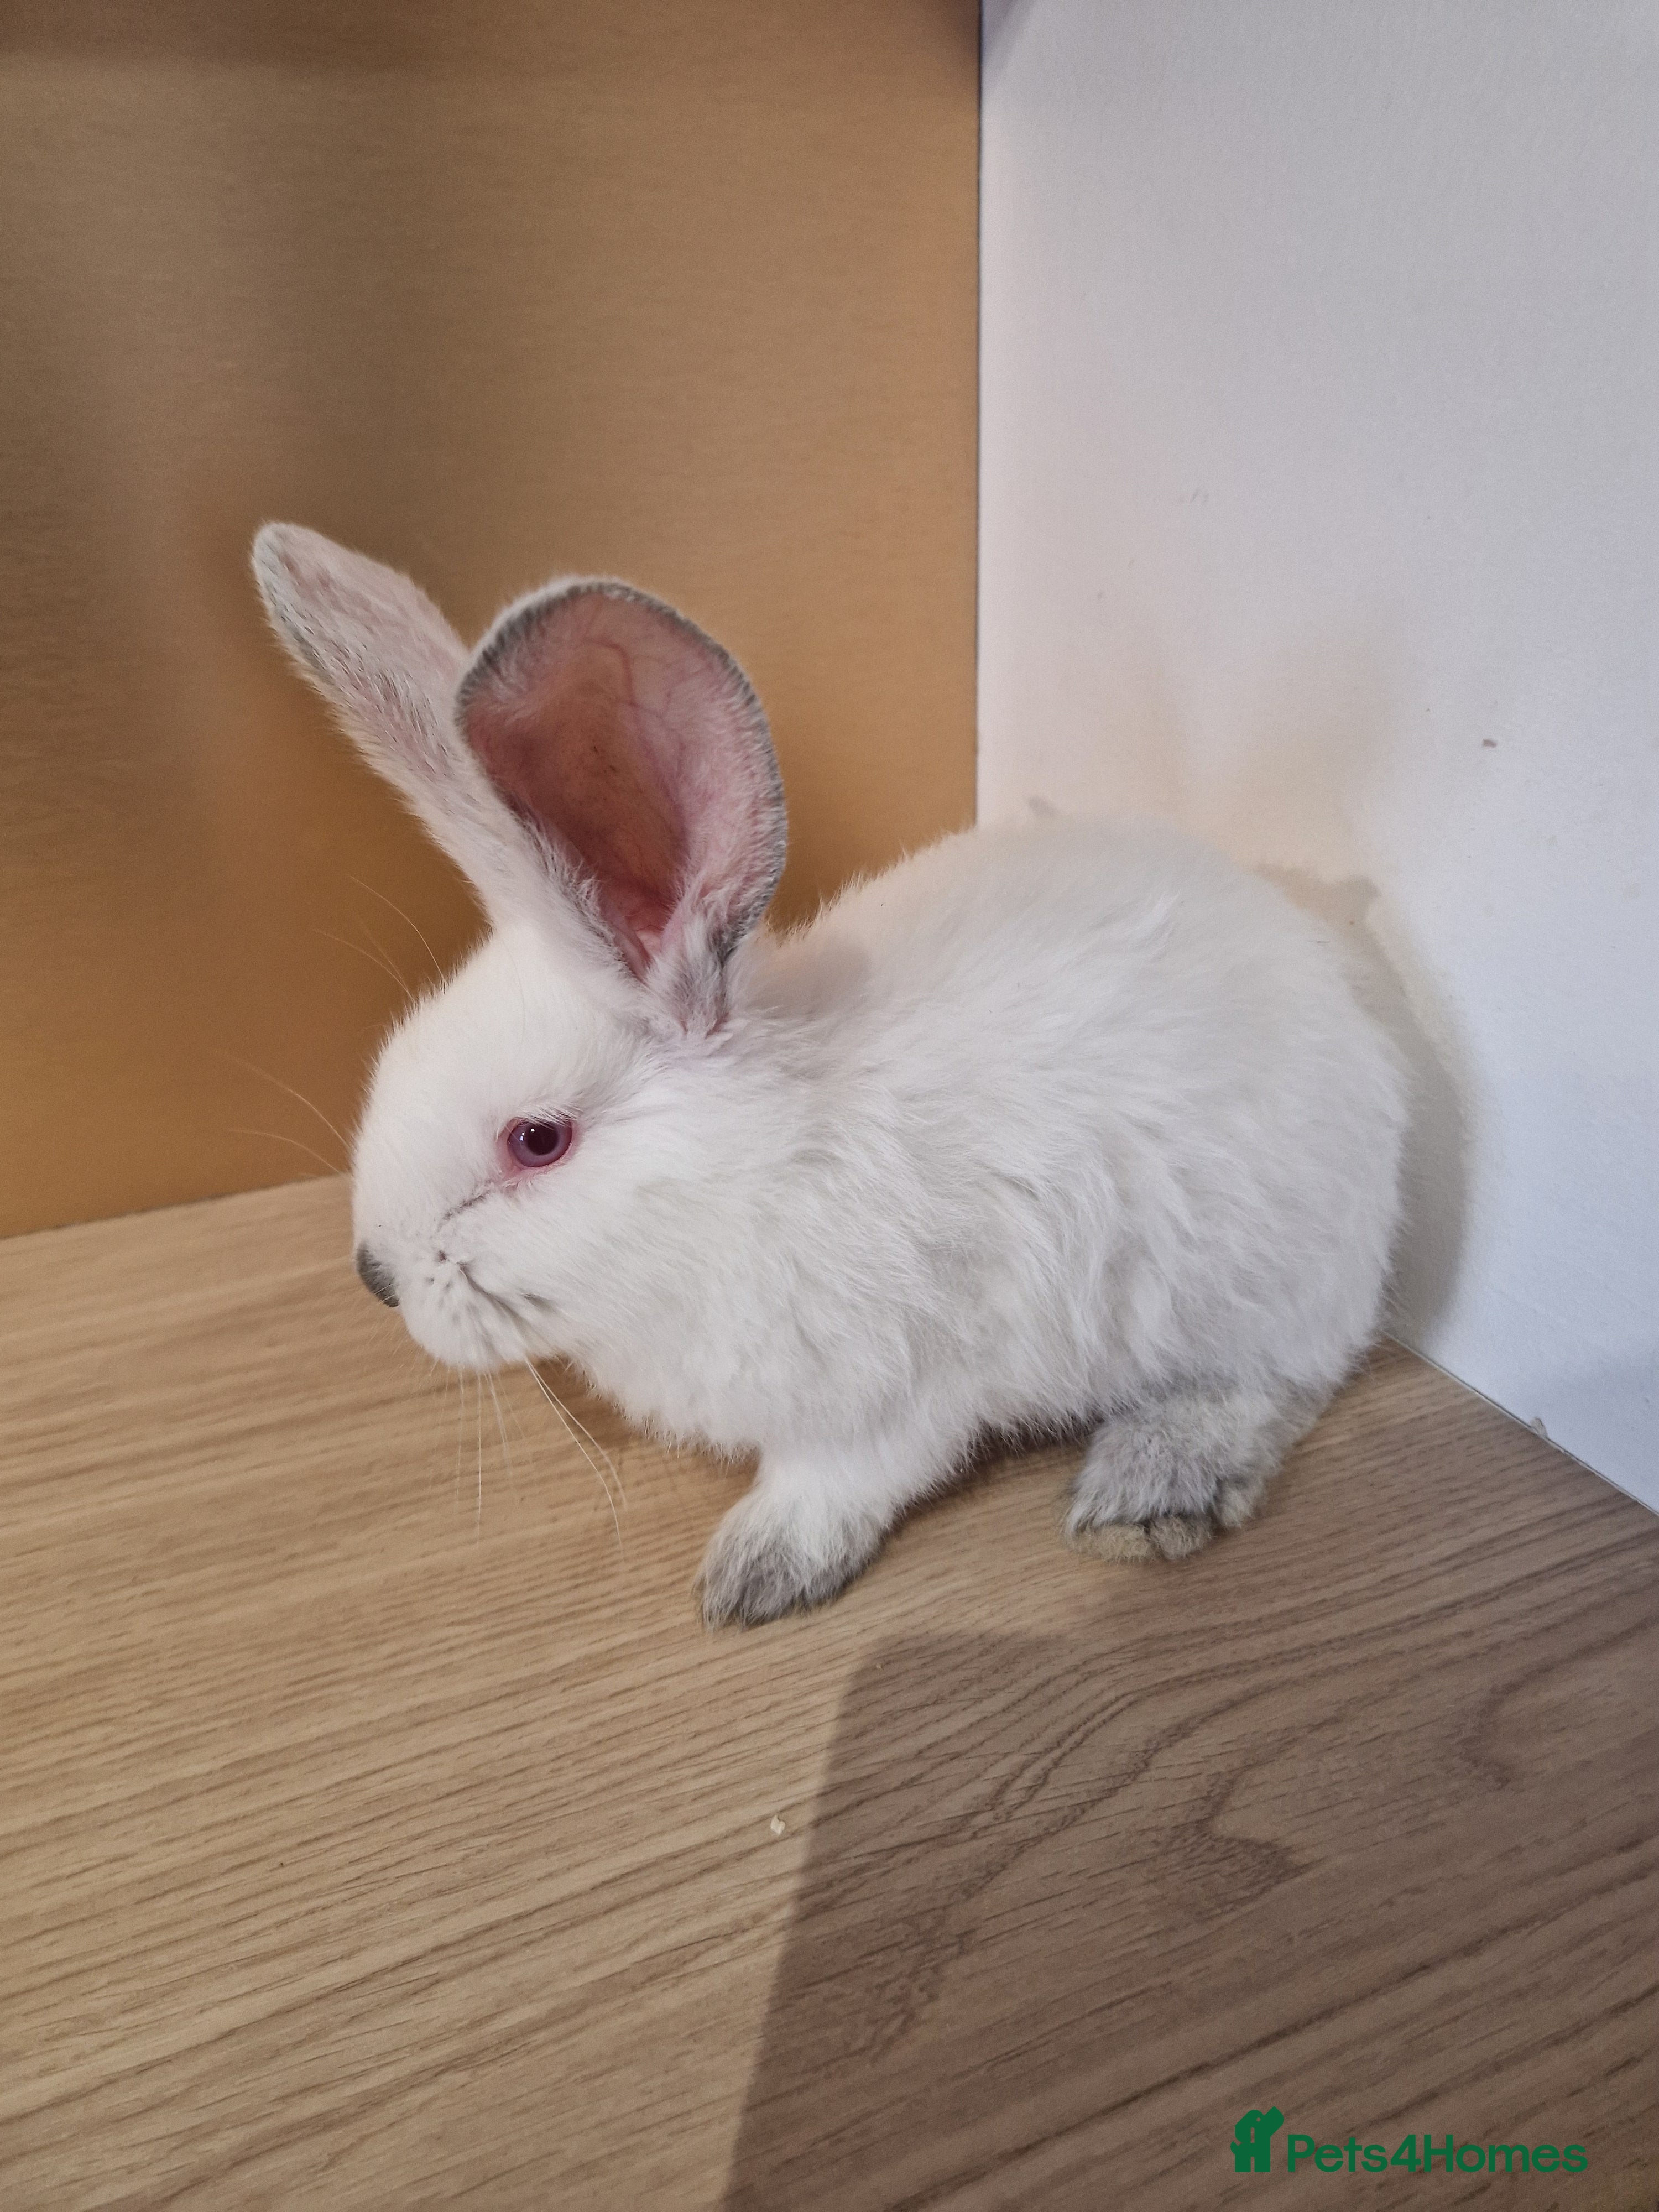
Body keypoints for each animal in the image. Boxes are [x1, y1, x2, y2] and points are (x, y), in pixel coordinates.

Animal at [252, 523, 1407, 1626]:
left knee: (1285, 1379)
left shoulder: (896, 1393)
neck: (747, 1178)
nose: (377, 1277)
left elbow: (839, 1482)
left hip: (1258, 1284)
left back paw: (1149, 1490)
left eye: (537, 1141)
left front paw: (753, 1574)